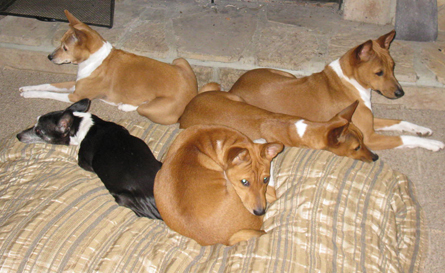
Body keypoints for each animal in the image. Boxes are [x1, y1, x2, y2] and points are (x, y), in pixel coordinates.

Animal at [19, 10, 196, 125]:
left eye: (65, 48)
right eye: (60, 43)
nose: (49, 57)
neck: (94, 59)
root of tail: (192, 95)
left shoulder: (76, 96)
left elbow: (49, 93)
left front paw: (29, 94)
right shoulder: (75, 85)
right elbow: (48, 85)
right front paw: (26, 88)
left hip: (151, 108)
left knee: (141, 106)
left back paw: (125, 105)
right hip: (179, 60)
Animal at [180, 89, 378, 163]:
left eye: (364, 139)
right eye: (357, 147)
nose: (376, 157)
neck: (303, 129)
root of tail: (185, 110)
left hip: (236, 98)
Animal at [229, 31, 444, 152]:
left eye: (394, 67)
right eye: (379, 72)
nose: (401, 93)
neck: (350, 83)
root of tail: (235, 85)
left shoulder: (371, 122)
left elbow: (401, 122)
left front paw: (422, 129)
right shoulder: (370, 137)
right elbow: (404, 138)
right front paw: (433, 144)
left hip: (287, 74)